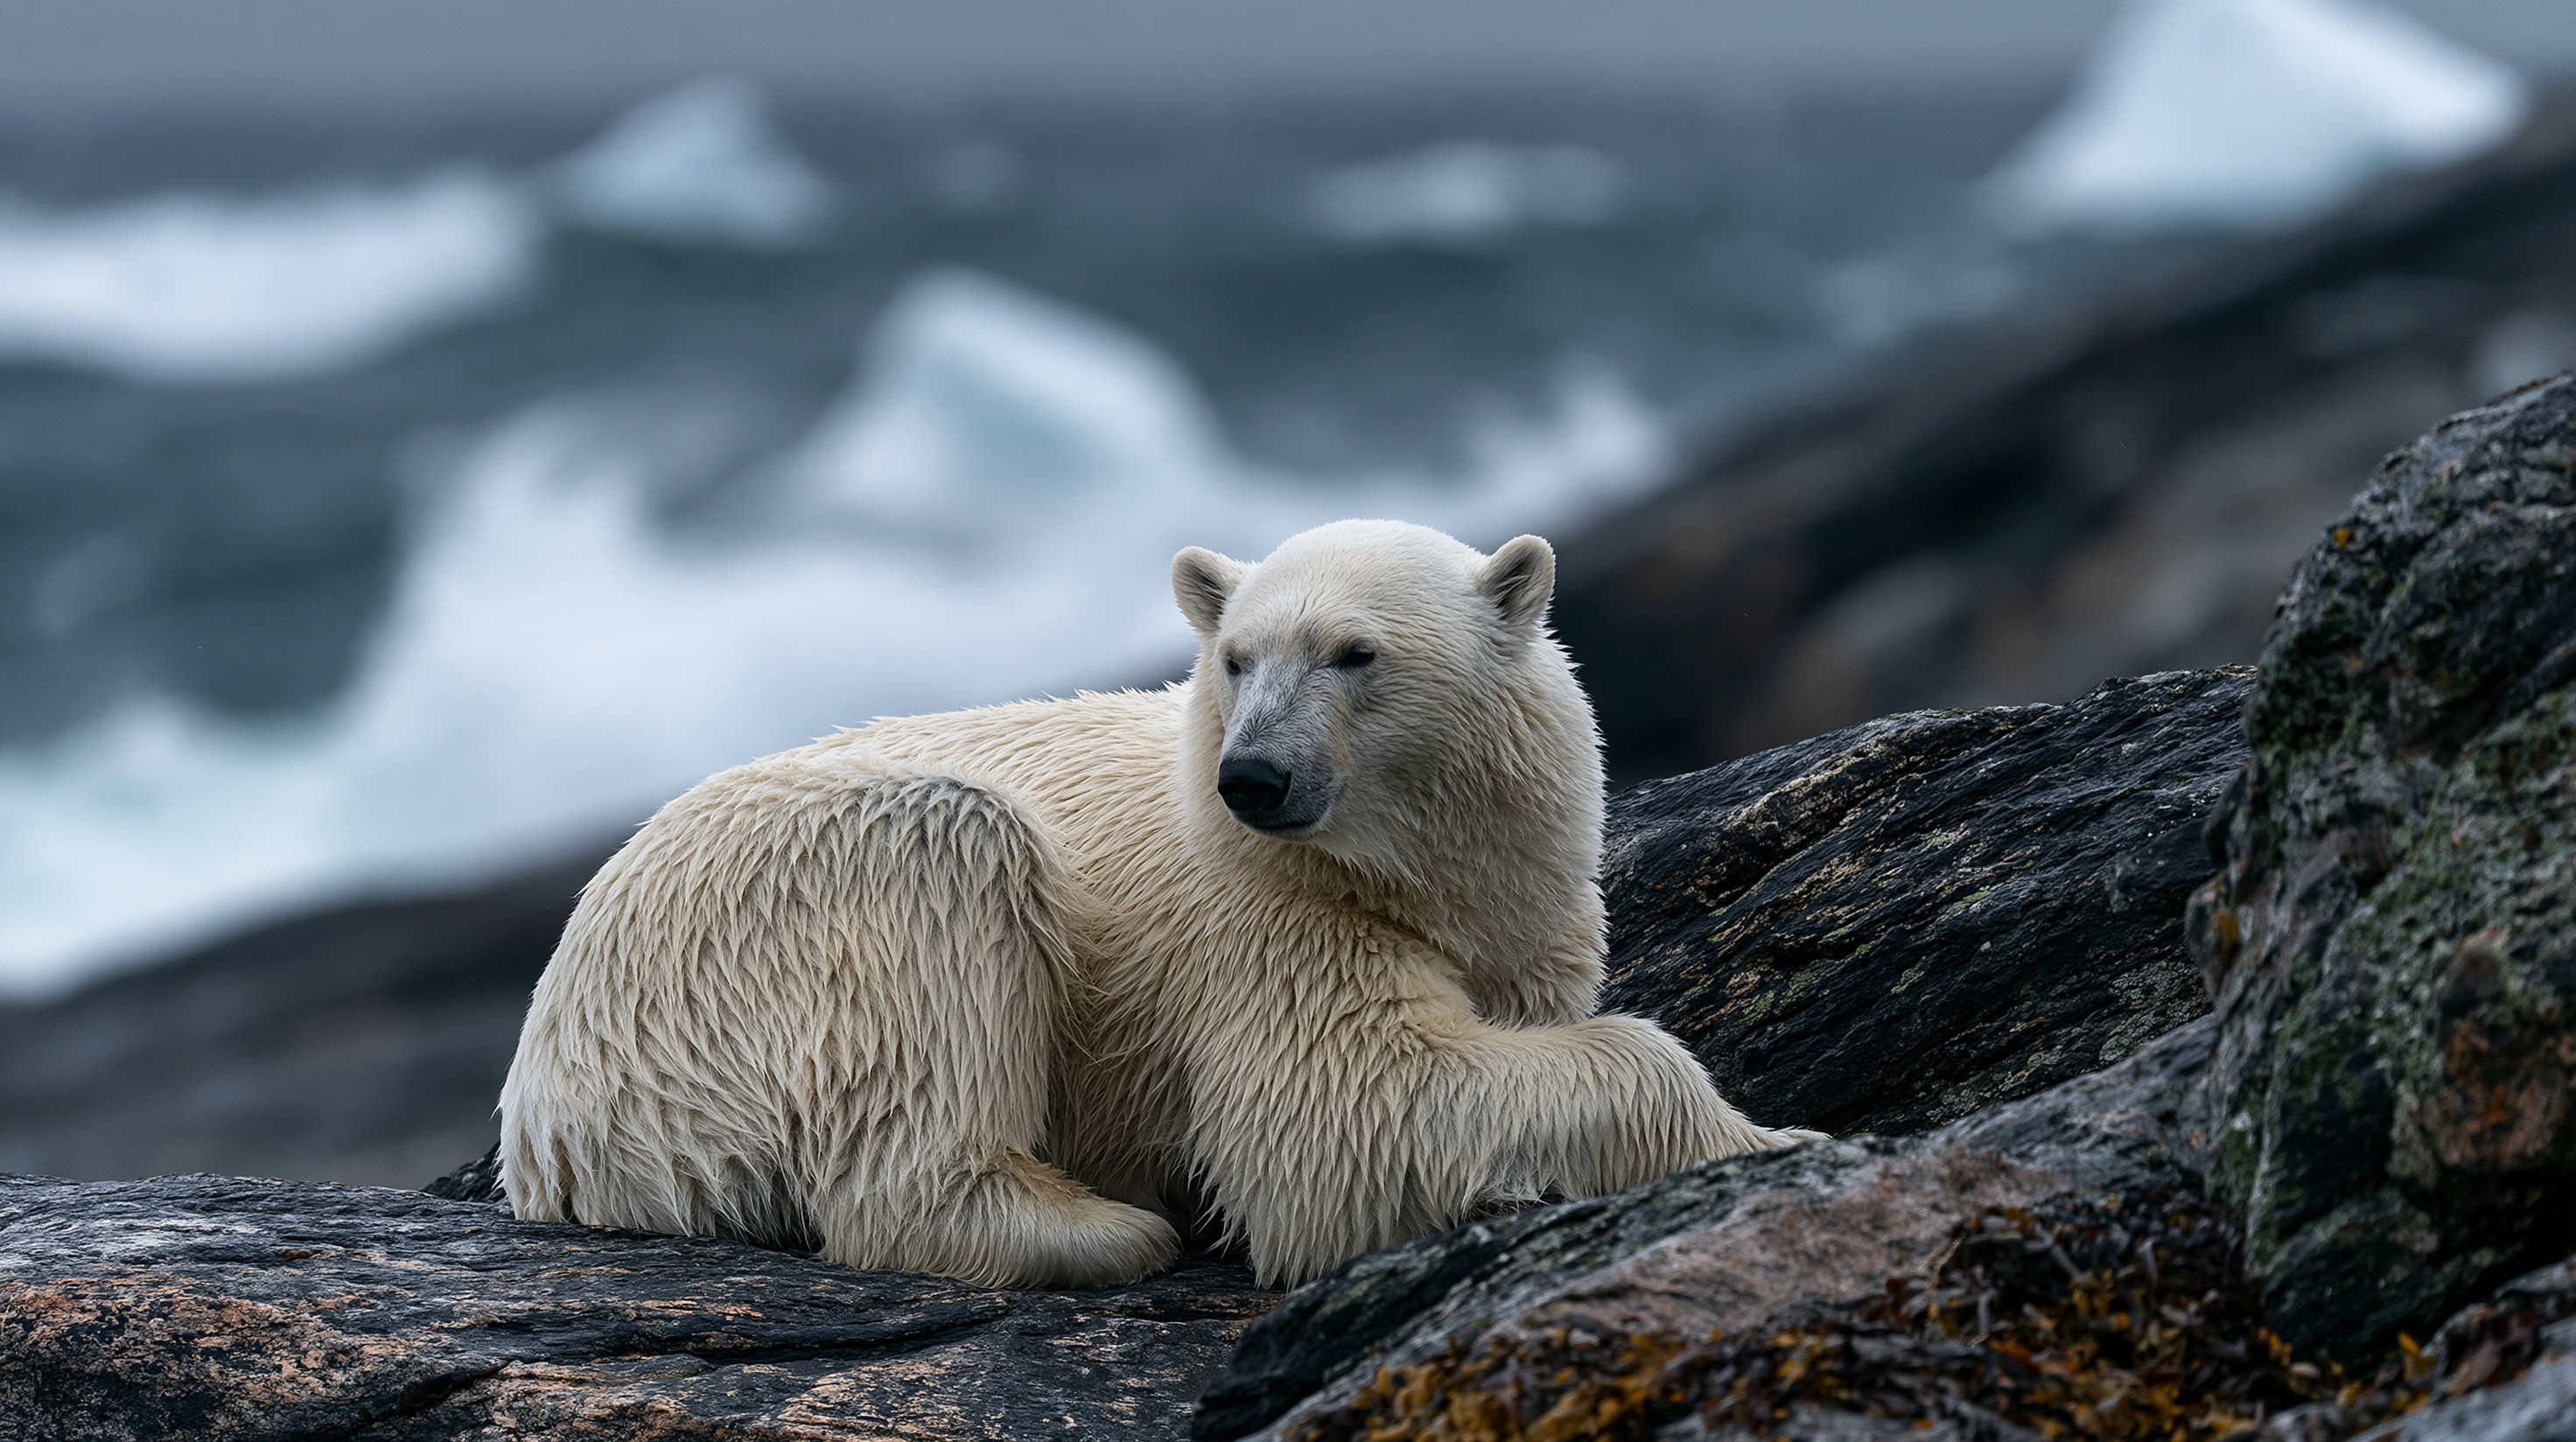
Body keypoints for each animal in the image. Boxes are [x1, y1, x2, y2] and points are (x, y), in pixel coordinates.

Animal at [498, 519, 1815, 1289]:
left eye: (1354, 653)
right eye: (1236, 658)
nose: (1254, 777)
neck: (1406, 871)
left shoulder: (1526, 904)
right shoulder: (1263, 923)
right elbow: (1342, 1117)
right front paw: (1773, 1138)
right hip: (755, 938)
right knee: (942, 868)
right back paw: (1103, 1227)